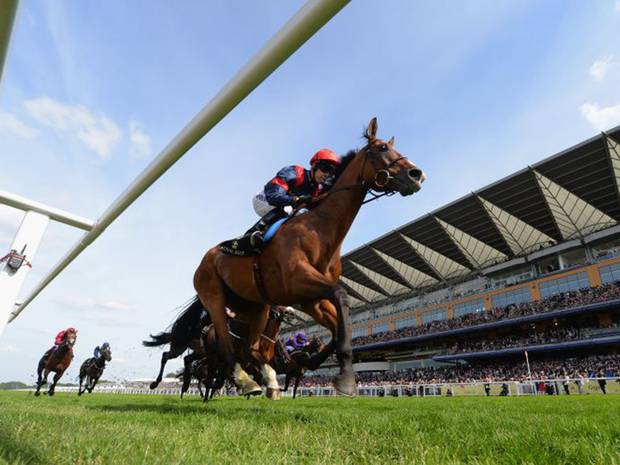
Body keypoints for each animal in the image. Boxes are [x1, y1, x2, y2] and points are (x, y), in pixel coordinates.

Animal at [194, 117, 426, 396]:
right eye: (382, 147)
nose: (417, 175)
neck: (320, 229)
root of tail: (207, 258)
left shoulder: (310, 300)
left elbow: (340, 329)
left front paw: (332, 367)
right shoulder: (299, 282)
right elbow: (341, 295)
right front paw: (345, 379)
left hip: (256, 307)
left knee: (250, 347)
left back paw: (262, 379)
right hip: (214, 297)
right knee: (228, 346)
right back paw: (245, 380)